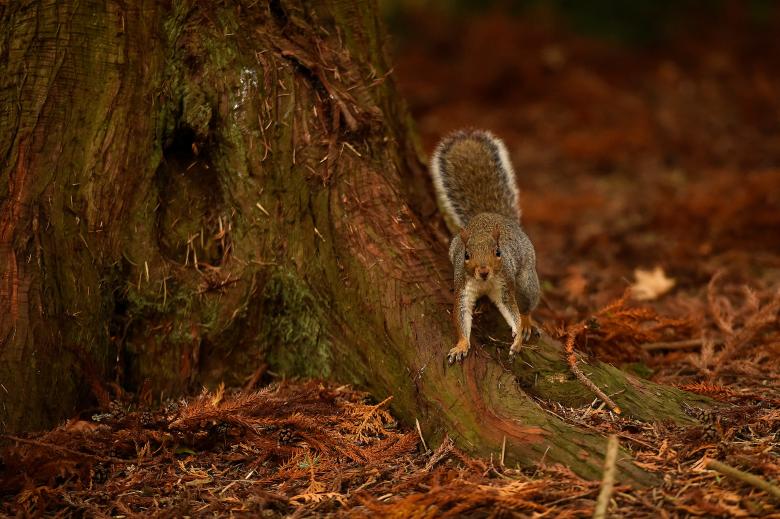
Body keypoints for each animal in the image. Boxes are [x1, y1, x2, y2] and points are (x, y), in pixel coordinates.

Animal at [430, 130, 540, 366]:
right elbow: (461, 315)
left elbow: (511, 309)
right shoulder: (463, 287)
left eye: (498, 252)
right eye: (466, 255)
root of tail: (493, 215)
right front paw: (461, 345)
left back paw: (527, 320)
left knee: (527, 301)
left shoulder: (505, 284)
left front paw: (517, 338)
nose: (483, 271)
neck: (484, 283)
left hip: (526, 277)